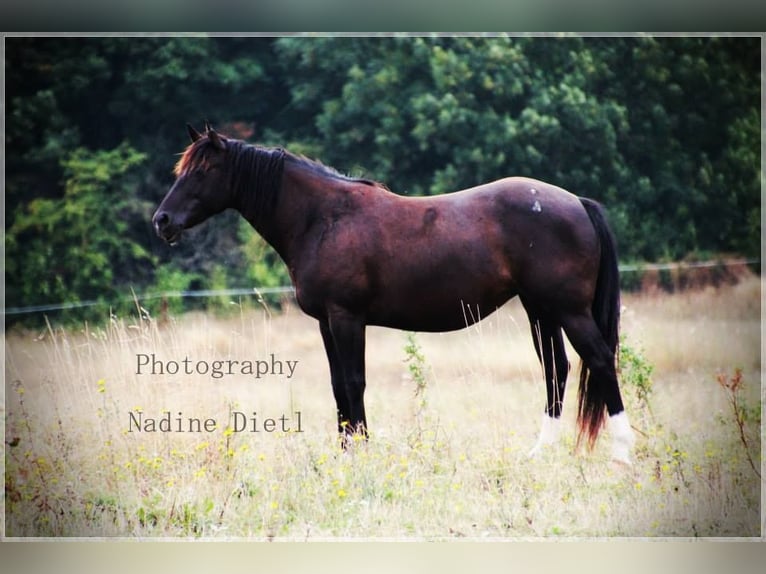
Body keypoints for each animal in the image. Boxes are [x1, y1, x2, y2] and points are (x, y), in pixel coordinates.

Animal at [152, 125, 636, 464]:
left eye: (203, 171)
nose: (162, 221)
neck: (323, 217)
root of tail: (576, 202)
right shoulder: (326, 323)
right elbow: (338, 386)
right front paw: (345, 455)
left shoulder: (346, 317)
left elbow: (354, 382)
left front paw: (361, 454)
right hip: (541, 310)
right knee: (557, 370)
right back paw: (540, 454)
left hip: (568, 310)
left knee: (598, 360)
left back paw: (622, 455)